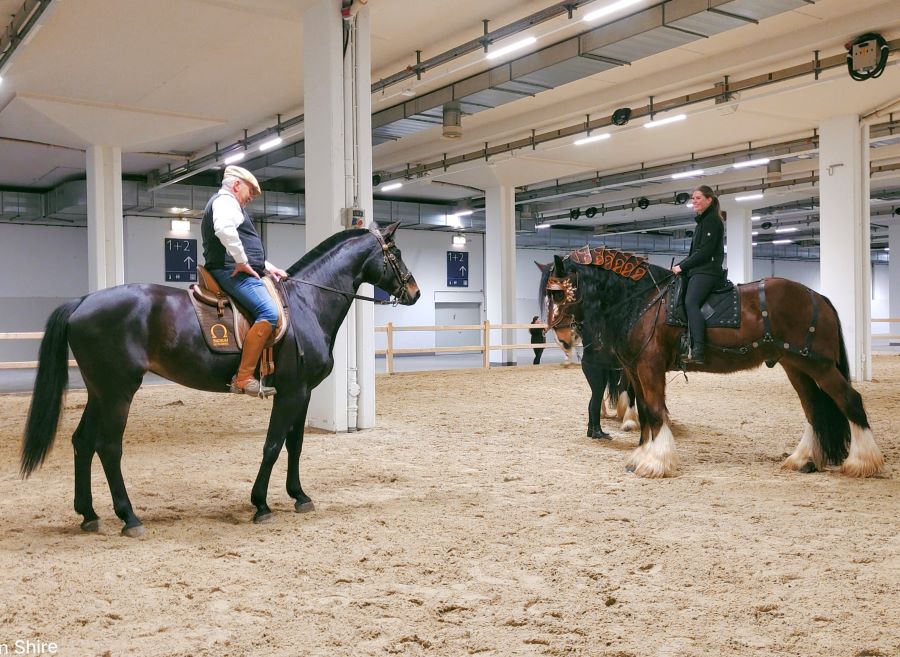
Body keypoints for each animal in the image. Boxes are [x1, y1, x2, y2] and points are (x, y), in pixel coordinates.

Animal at [20, 223, 422, 536]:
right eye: (396, 252)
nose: (414, 292)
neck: (306, 303)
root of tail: (83, 302)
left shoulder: (303, 393)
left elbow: (294, 446)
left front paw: (299, 496)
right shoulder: (291, 392)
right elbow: (273, 445)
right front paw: (261, 504)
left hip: (100, 391)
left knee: (82, 442)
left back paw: (89, 514)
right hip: (118, 392)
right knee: (108, 447)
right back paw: (129, 517)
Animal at [540, 246, 884, 476]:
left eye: (557, 293)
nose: (562, 337)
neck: (642, 300)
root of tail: (818, 297)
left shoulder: (649, 367)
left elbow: (655, 411)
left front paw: (657, 462)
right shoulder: (635, 370)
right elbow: (646, 414)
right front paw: (642, 456)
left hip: (819, 366)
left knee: (850, 400)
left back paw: (863, 462)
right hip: (796, 366)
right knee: (813, 408)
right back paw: (803, 459)